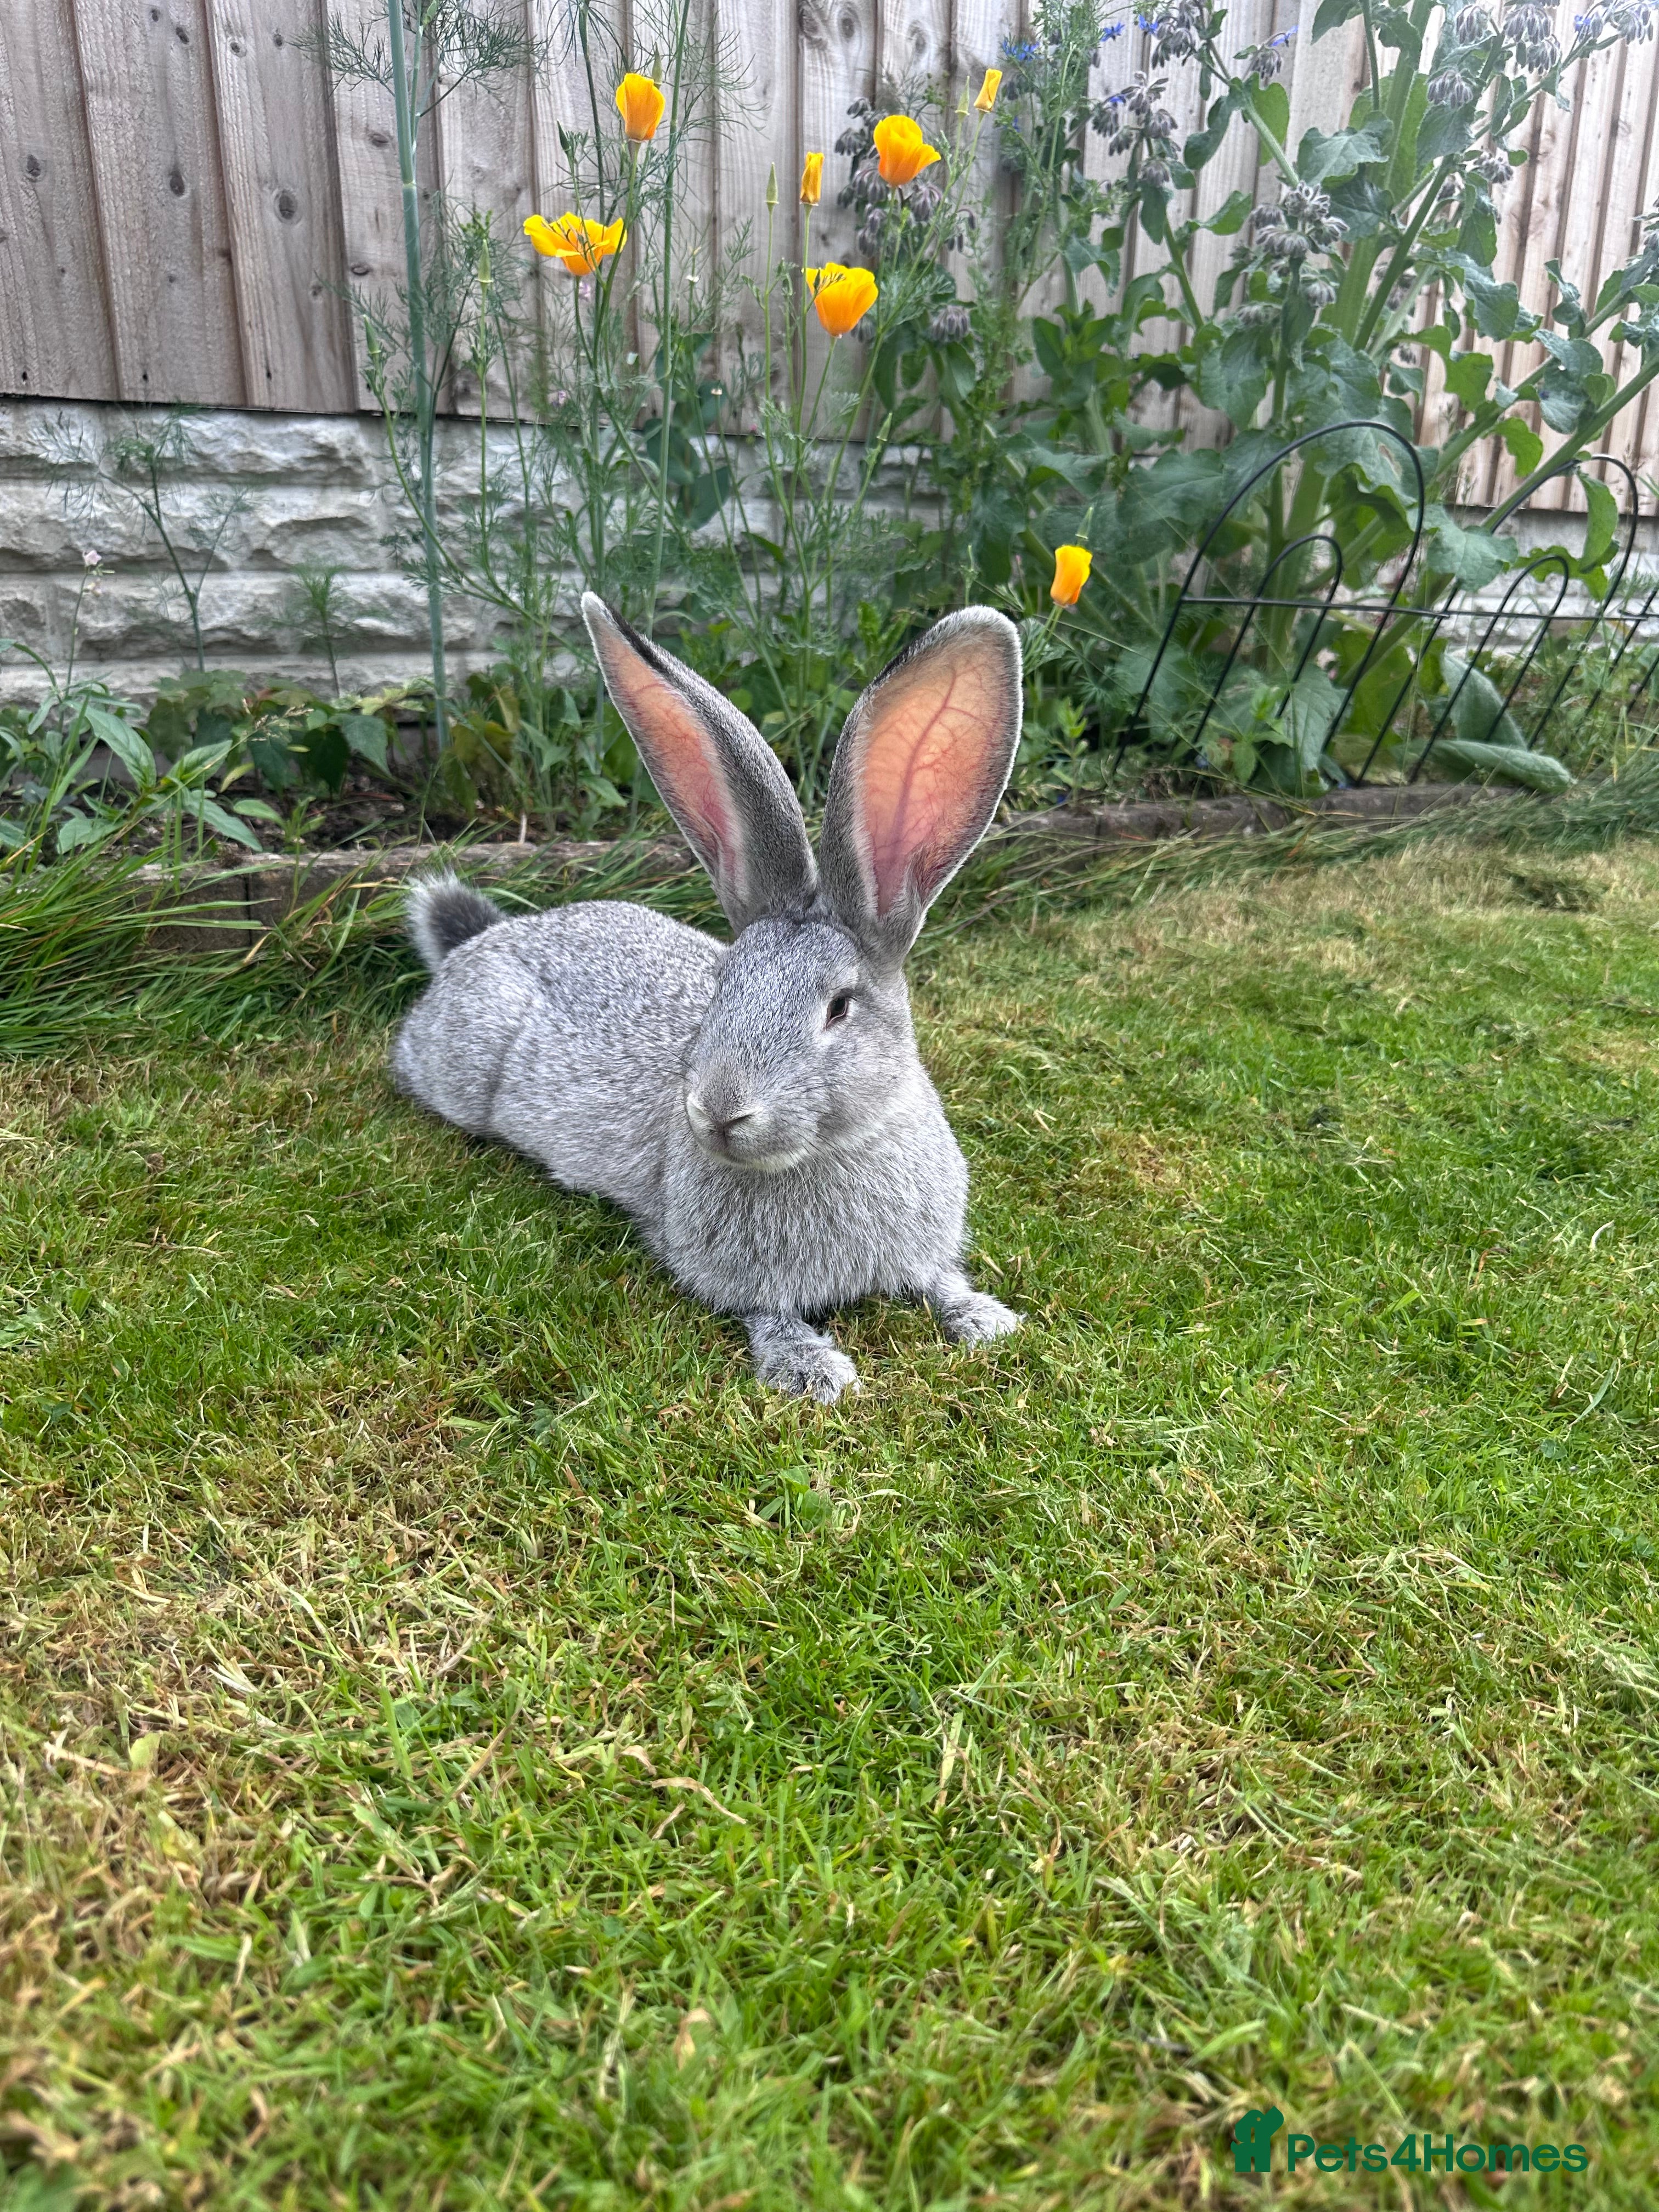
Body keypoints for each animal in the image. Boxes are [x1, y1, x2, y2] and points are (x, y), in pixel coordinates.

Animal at [390, 593, 1026, 1402]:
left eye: (839, 1008)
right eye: (723, 984)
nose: (720, 1112)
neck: (830, 1150)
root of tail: (473, 946)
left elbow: (938, 1280)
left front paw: (987, 1320)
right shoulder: (732, 1275)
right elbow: (767, 1312)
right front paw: (812, 1370)